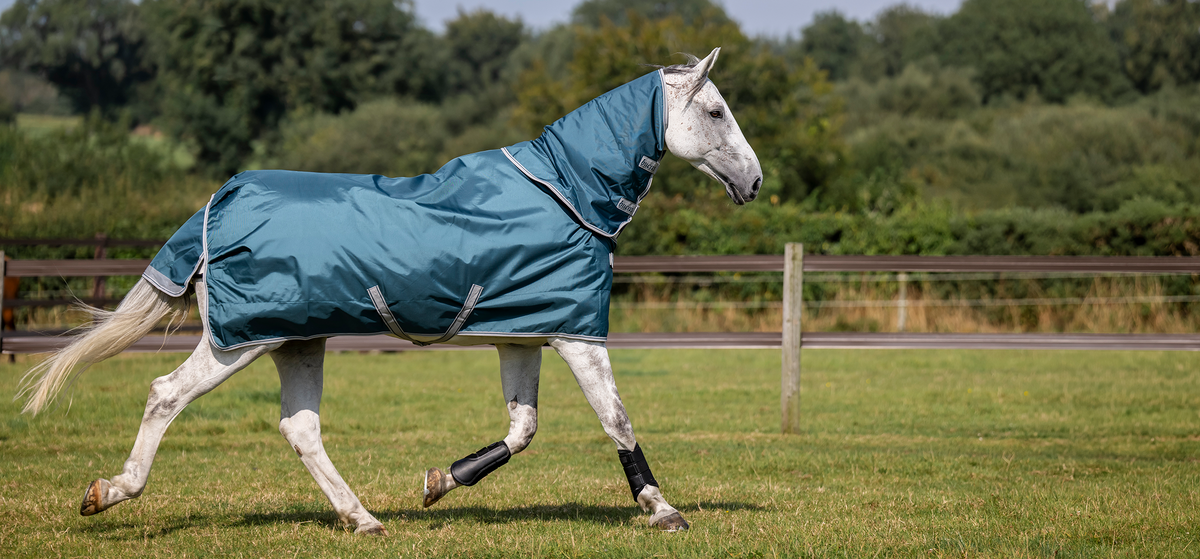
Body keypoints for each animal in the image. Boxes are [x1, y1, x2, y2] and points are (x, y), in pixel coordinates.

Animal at [18, 48, 761, 534]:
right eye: (716, 111)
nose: (754, 183)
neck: (566, 191)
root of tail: (212, 207)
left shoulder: (525, 333)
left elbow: (522, 430)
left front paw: (439, 482)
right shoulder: (576, 335)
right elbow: (617, 419)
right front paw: (663, 510)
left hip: (296, 340)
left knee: (301, 428)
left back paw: (364, 518)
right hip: (239, 340)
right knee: (166, 395)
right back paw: (109, 492)